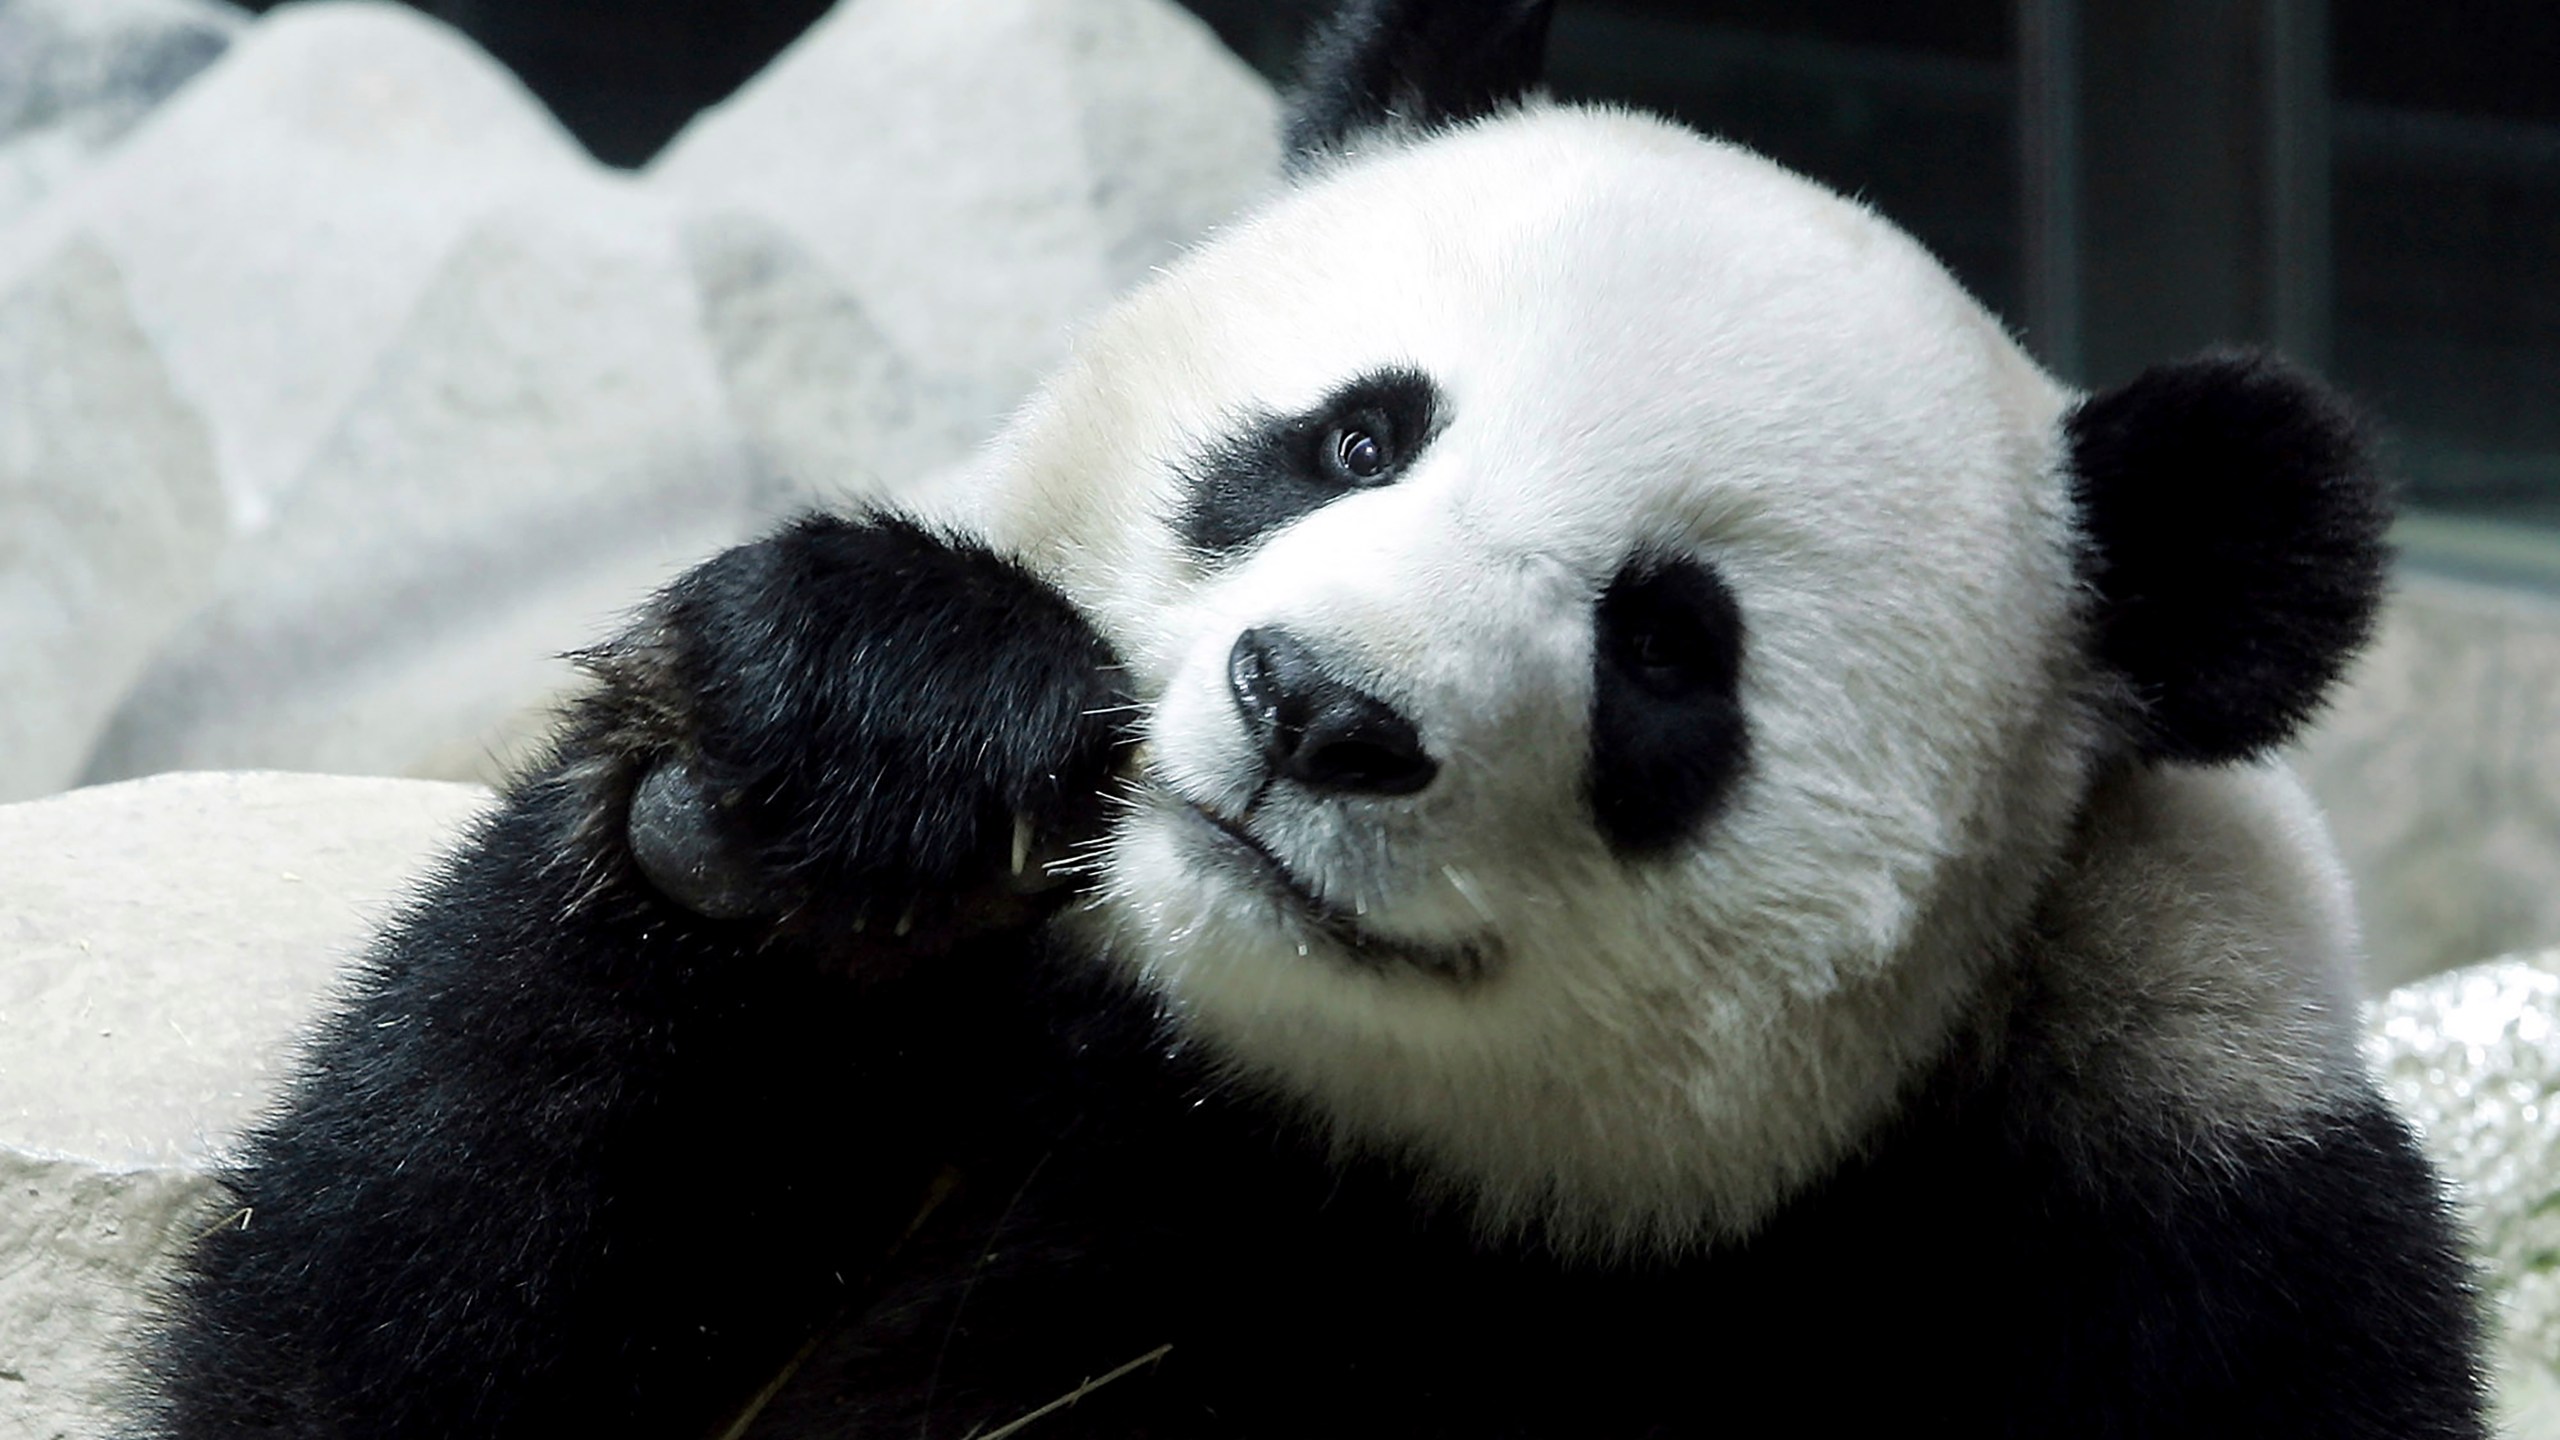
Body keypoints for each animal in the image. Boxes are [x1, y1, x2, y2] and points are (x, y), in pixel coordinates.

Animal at [140, 2, 2478, 1434]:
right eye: (1354, 436)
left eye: (1669, 650)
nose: (1321, 707)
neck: (1301, 1127)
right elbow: (351, 1343)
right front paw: (860, 734)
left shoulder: (2177, 1227)